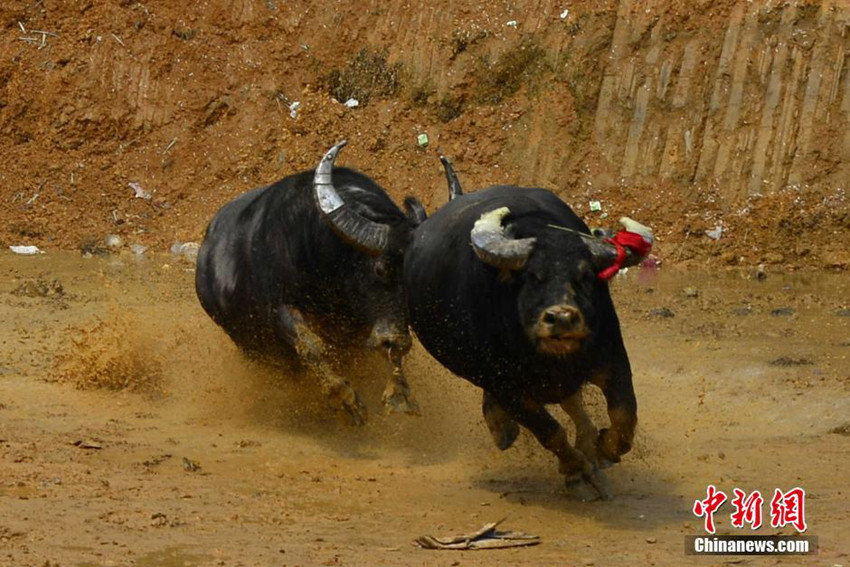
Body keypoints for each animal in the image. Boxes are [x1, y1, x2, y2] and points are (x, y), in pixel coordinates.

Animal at [197, 141, 424, 426]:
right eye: (380, 269)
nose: (401, 342)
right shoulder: (279, 310)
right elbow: (309, 346)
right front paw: (346, 399)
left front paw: (399, 394)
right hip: (247, 345)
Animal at [404, 171, 648, 500]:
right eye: (534, 277)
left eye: (584, 276)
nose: (562, 318)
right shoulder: (508, 387)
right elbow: (550, 432)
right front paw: (576, 472)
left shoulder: (612, 358)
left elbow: (624, 415)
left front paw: (604, 450)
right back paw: (502, 428)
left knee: (572, 401)